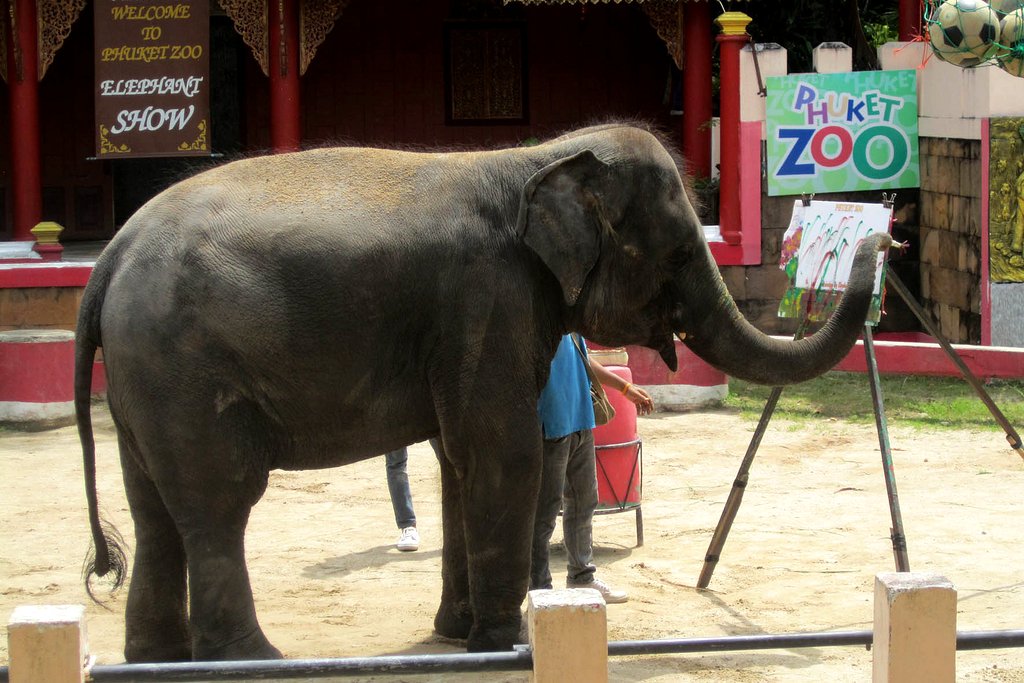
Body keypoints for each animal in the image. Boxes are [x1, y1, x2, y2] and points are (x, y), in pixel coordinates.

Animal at [76, 122, 892, 661]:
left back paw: (155, 661)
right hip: (183, 367)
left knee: (155, 510)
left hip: (143, 377)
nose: (881, 237)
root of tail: (109, 258)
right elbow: (506, 453)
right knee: (219, 504)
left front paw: (453, 634)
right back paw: (253, 661)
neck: (539, 156)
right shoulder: (486, 296)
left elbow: (458, 461)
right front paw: (503, 643)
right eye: (678, 252)